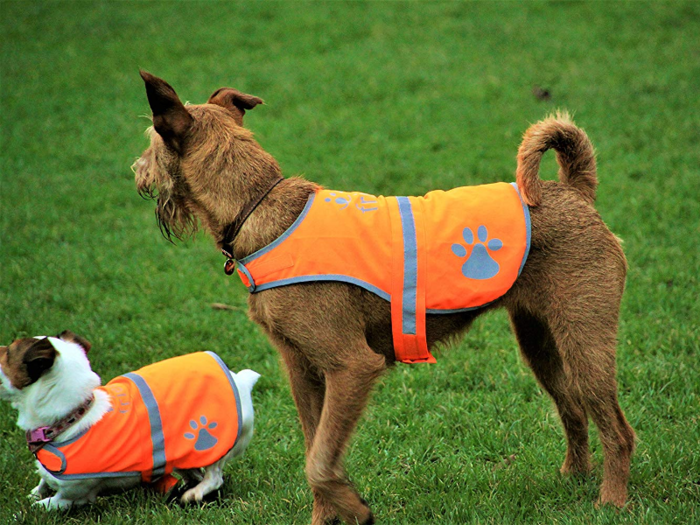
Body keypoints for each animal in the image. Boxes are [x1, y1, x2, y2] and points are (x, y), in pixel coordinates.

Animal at [0, 332, 260, 508]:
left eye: (6, 353)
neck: (72, 418)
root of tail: (240, 381)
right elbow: (41, 484)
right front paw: (33, 492)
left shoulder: (72, 497)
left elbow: (43, 506)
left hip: (213, 448)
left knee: (215, 477)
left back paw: (194, 493)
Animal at [134, 71, 636, 520]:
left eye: (150, 142)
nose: (136, 171)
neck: (257, 205)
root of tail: (573, 191)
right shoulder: (302, 371)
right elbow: (314, 451)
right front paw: (327, 516)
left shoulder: (351, 366)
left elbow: (319, 463)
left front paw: (353, 507)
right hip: (540, 342)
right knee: (573, 408)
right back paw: (573, 476)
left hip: (585, 341)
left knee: (617, 428)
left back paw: (611, 501)